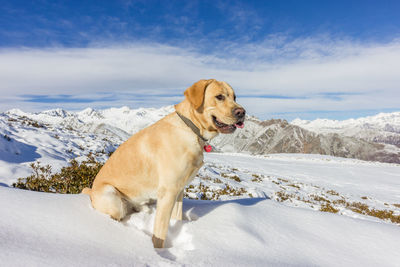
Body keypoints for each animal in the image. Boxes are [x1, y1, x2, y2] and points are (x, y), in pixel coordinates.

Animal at [81, 79, 245, 249]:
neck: (191, 128)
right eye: (219, 96)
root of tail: (91, 192)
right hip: (113, 199)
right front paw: (158, 251)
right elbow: (160, 233)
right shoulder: (168, 192)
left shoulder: (179, 190)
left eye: (234, 97)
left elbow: (177, 218)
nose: (242, 112)